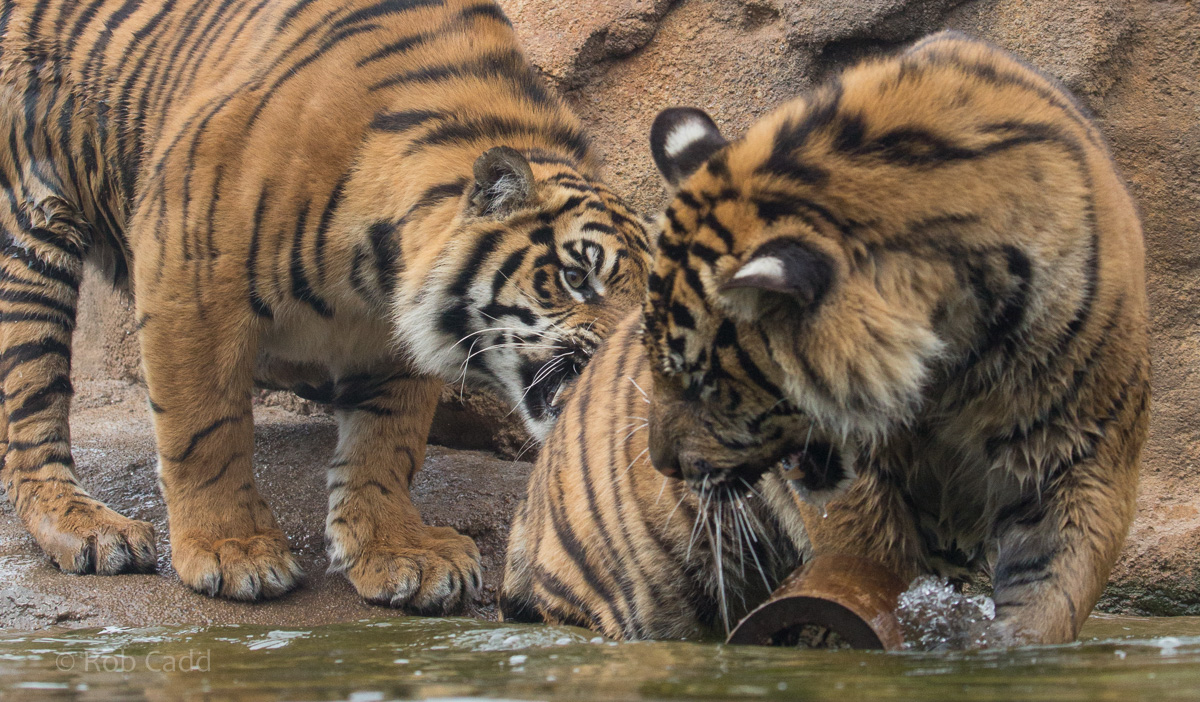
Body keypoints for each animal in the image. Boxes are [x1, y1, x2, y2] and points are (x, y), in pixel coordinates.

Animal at [0, 0, 650, 614]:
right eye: (576, 277)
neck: (377, 267)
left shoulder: (395, 333)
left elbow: (387, 439)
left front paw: (397, 551)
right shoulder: (187, 269)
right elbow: (205, 427)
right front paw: (231, 549)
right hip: (30, 240)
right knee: (31, 419)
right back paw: (90, 529)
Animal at [500, 32, 1149, 646]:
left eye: (703, 382)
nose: (663, 466)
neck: (952, 359)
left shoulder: (1083, 459)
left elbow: (1049, 594)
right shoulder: (857, 485)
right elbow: (871, 566)